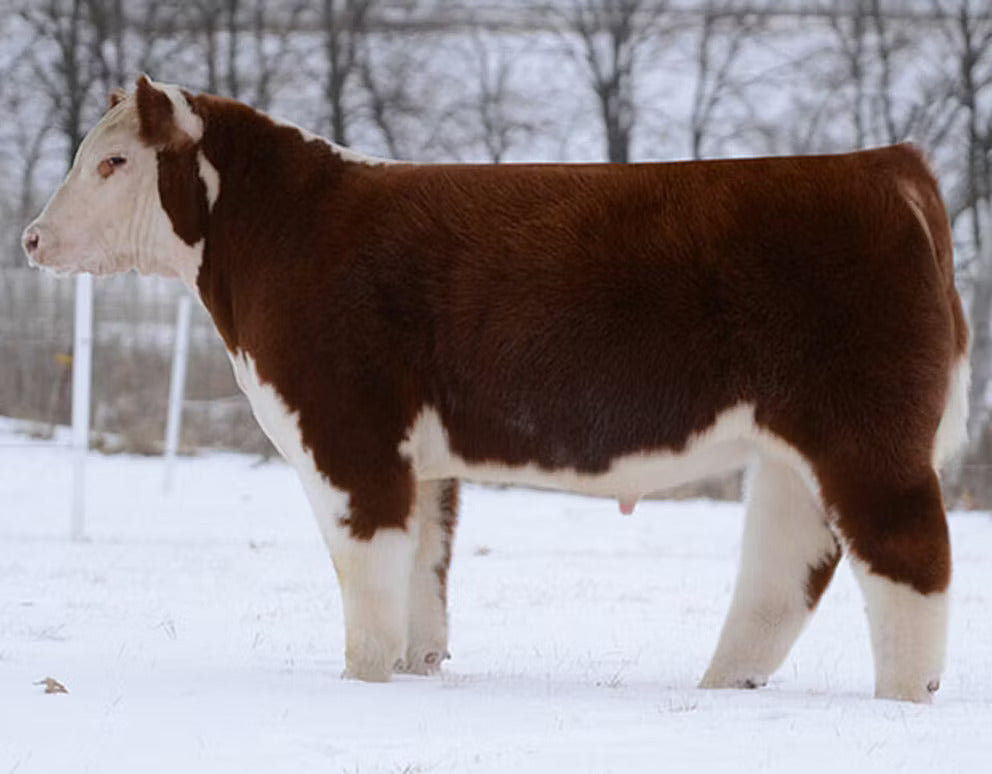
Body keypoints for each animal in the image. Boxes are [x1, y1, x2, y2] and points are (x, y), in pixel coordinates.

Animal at [23, 76, 969, 703]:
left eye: (111, 162)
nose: (31, 238)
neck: (283, 231)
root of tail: (889, 166)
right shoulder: (422, 457)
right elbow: (424, 574)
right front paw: (416, 673)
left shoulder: (346, 428)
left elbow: (368, 569)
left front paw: (360, 685)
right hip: (788, 455)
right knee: (784, 572)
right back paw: (719, 689)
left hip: (866, 432)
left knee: (909, 556)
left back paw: (904, 700)